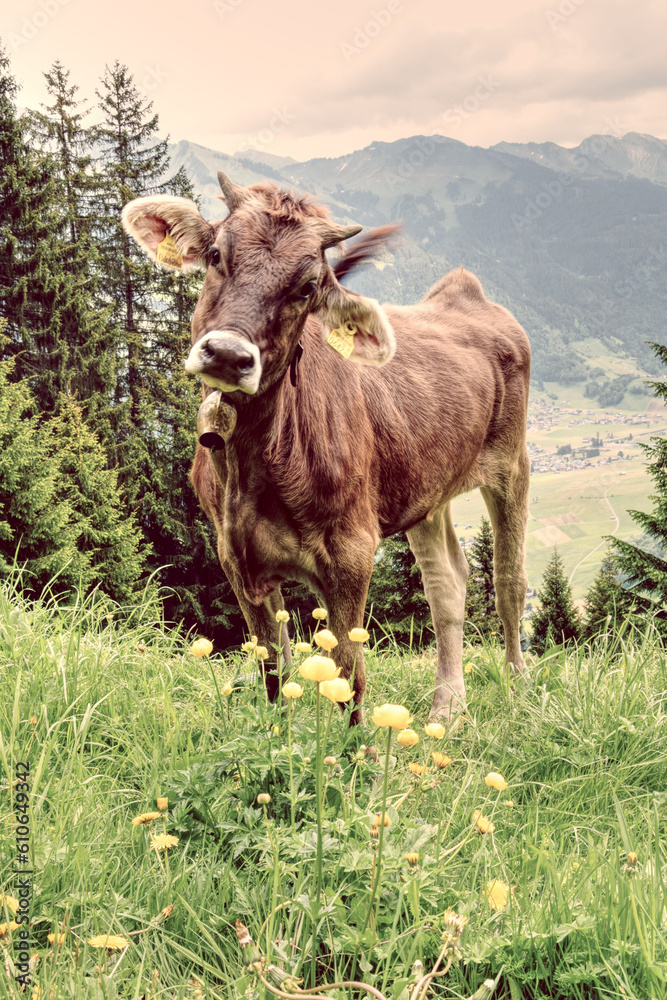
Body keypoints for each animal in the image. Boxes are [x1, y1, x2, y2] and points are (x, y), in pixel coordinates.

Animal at [122, 171, 531, 725]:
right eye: (215, 254)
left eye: (308, 287)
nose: (227, 354)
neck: (252, 465)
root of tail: (467, 295)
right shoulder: (235, 556)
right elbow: (273, 666)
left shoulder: (352, 549)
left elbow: (346, 674)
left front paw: (351, 745)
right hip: (426, 488)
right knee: (447, 584)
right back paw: (446, 709)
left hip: (512, 463)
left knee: (509, 581)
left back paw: (517, 690)